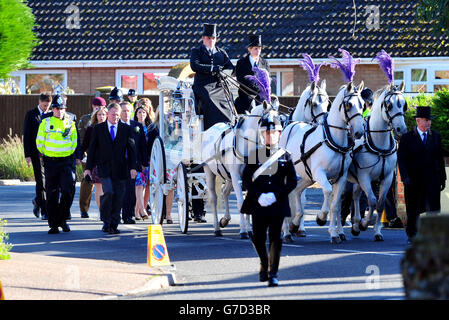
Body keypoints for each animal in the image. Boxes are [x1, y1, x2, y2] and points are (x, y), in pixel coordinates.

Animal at [200, 100, 276, 238]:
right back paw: (217, 228)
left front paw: (250, 230)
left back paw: (225, 219)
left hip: (229, 176)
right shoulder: (236, 175)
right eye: (266, 121)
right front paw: (243, 231)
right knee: (213, 198)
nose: (273, 147)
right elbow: (241, 202)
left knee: (224, 192)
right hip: (209, 171)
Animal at [282, 82, 366, 242]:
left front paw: (334, 234)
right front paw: (321, 217)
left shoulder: (341, 177)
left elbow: (335, 204)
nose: (359, 132)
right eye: (348, 105)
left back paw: (294, 224)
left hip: (306, 177)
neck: (332, 139)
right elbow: (327, 191)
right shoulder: (319, 173)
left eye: (362, 105)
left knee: (296, 191)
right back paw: (287, 233)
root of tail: (292, 124)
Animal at [344, 82, 408, 240]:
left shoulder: (387, 177)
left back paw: (355, 224)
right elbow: (372, 201)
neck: (379, 144)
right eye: (389, 105)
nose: (401, 130)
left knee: (355, 195)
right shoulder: (364, 176)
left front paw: (377, 232)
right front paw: (364, 224)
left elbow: (380, 204)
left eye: (404, 105)